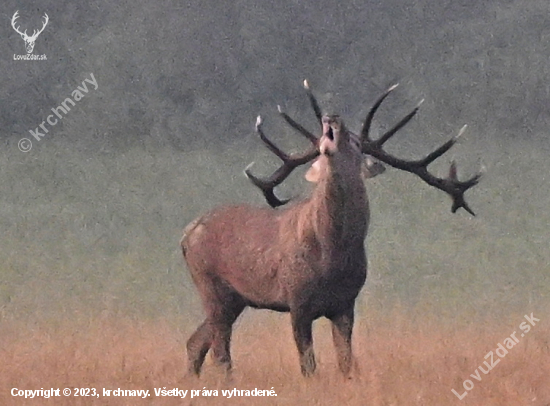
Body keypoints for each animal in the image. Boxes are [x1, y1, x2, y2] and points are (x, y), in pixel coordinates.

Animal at [181, 80, 481, 378]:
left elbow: (346, 363)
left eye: (356, 142)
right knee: (220, 350)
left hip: (234, 299)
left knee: (197, 341)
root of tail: (185, 235)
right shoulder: (296, 299)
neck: (332, 257)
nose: (331, 117)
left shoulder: (346, 303)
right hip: (210, 283)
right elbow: (308, 365)